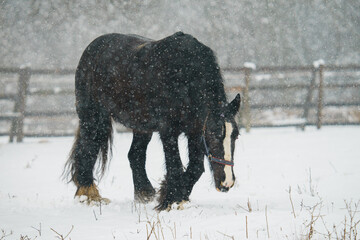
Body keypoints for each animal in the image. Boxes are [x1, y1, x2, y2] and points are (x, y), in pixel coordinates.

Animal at [63, 31, 240, 210]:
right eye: (213, 135)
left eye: (236, 136)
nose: (227, 182)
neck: (184, 75)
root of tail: (93, 47)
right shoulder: (168, 131)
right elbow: (175, 166)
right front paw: (170, 200)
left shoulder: (194, 132)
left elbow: (195, 168)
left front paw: (174, 195)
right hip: (94, 118)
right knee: (87, 149)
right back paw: (89, 195)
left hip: (141, 127)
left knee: (135, 155)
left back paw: (144, 193)